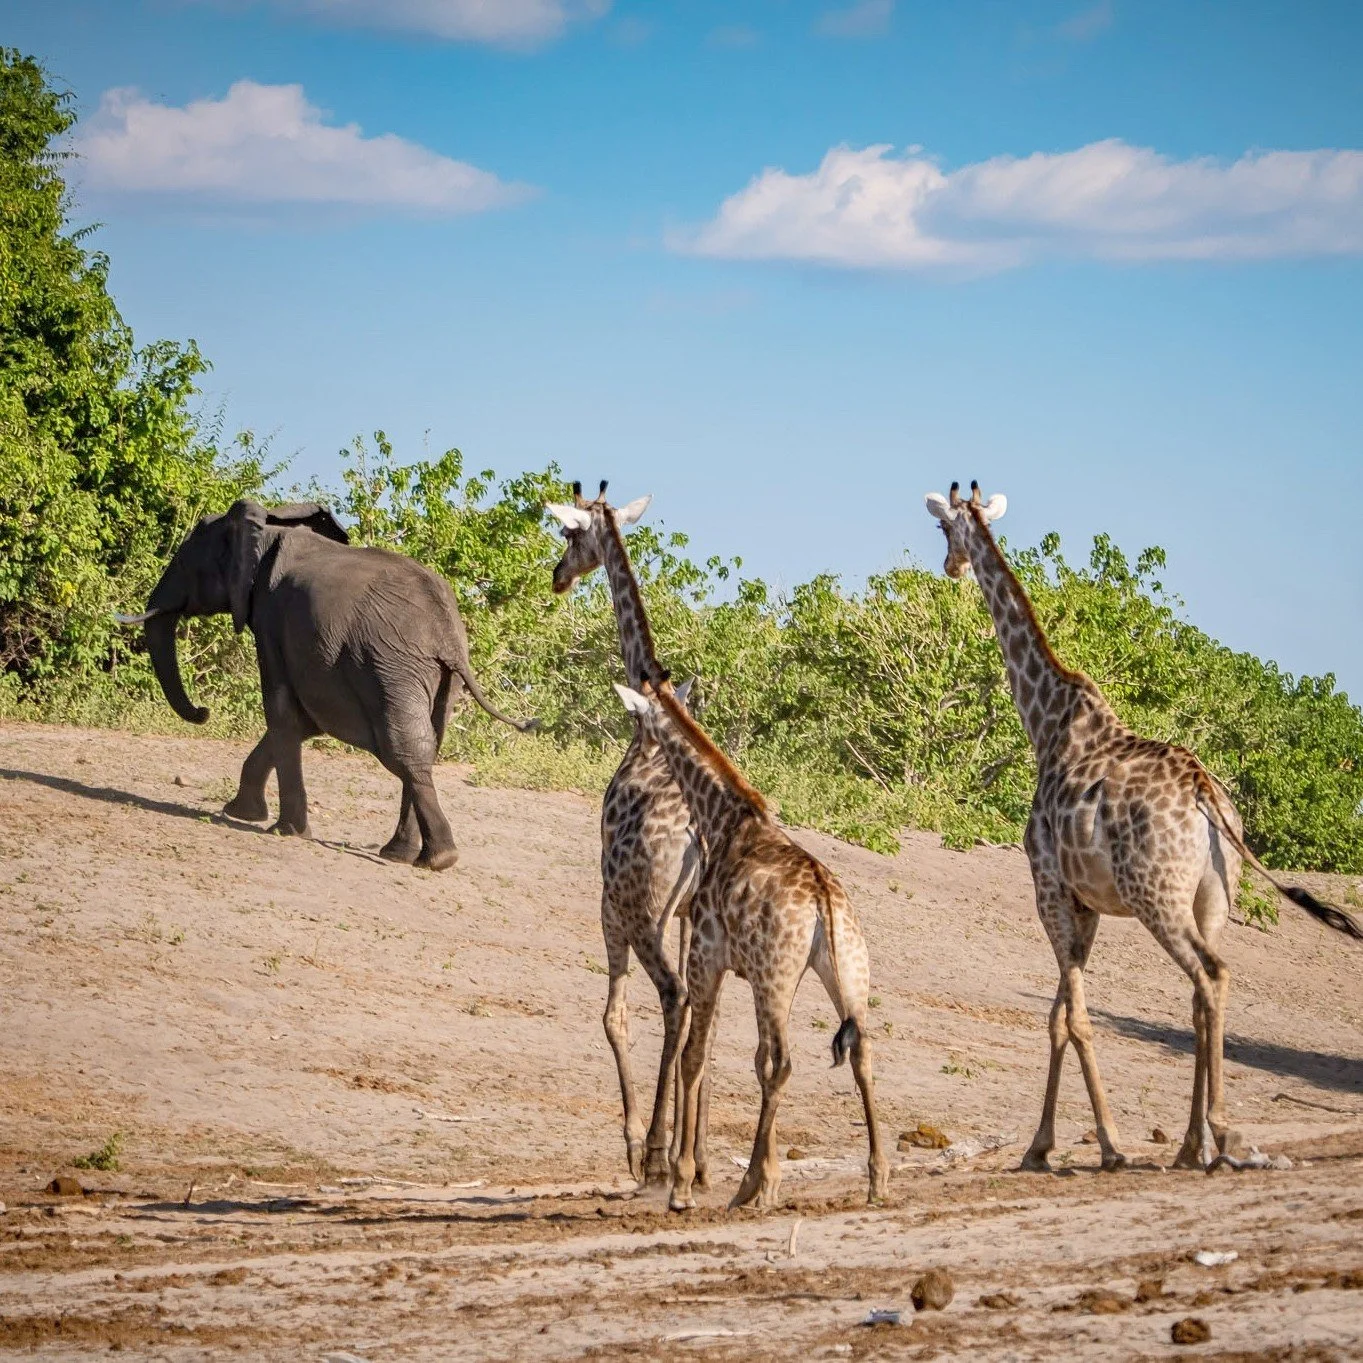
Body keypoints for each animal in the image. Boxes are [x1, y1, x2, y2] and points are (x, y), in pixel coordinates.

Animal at [119, 498, 536, 870]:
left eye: (183, 563)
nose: (204, 712)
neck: (269, 527)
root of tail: (446, 632)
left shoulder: (271, 620)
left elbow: (282, 711)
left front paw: (283, 831)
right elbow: (305, 722)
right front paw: (240, 813)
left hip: (391, 664)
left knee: (402, 748)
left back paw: (435, 860)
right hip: (435, 676)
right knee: (426, 742)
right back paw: (404, 855)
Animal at [613, 679, 888, 1212]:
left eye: (640, 719)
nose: (638, 760)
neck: (724, 819)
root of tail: (824, 900)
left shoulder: (706, 958)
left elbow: (694, 1056)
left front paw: (683, 1185)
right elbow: (731, 1058)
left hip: (776, 978)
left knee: (781, 1061)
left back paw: (748, 1188)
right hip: (846, 969)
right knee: (861, 1053)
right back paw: (878, 1179)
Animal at [924, 480, 1363, 1174]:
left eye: (944, 530)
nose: (950, 566)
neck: (1045, 723)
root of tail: (1207, 796)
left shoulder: (1049, 887)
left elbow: (1074, 1018)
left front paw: (1104, 1145)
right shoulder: (1087, 904)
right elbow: (1058, 1015)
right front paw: (1041, 1145)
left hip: (1157, 895)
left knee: (1208, 975)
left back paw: (1225, 1135)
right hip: (1212, 898)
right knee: (1204, 992)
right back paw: (1190, 1145)